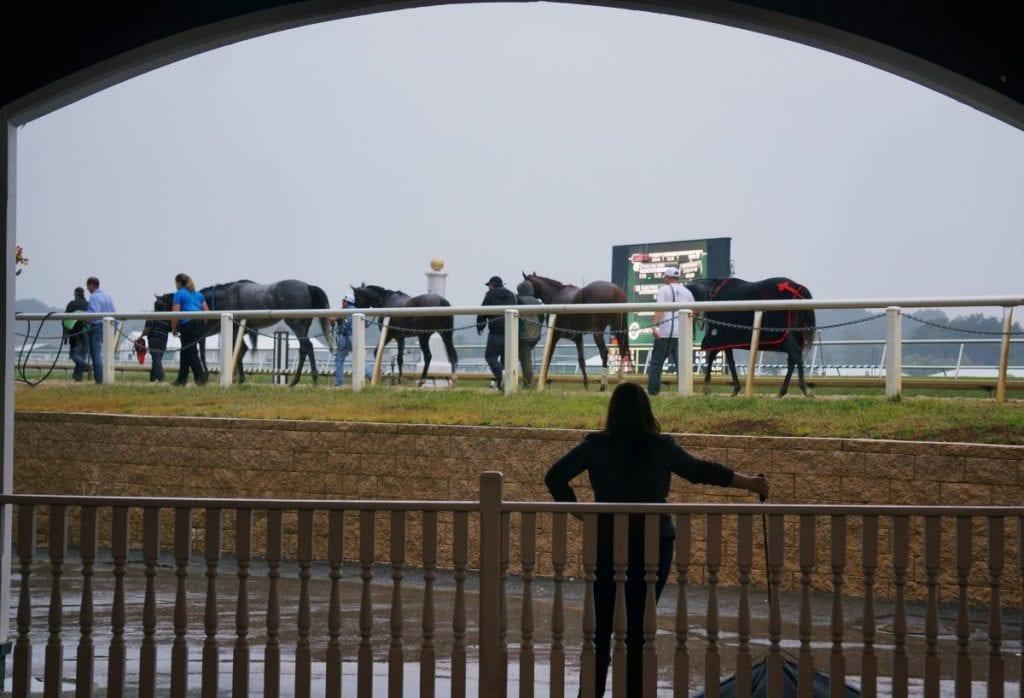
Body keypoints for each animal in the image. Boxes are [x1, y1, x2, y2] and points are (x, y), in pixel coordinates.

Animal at [153, 278, 333, 386]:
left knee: (307, 346)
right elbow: (240, 351)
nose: (154, 325)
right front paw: (237, 377)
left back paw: (308, 379)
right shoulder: (237, 329)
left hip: (296, 323)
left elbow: (227, 352)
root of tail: (308, 287)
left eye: (159, 306)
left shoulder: (232, 329)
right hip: (304, 324)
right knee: (304, 348)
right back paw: (297, 380)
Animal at [684, 276, 819, 397]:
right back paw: (782, 391)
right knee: (792, 359)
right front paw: (735, 388)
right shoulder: (726, 340)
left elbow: (713, 357)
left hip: (783, 335)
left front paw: (707, 386)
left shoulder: (720, 336)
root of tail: (797, 289)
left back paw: (803, 388)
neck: (711, 293)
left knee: (796, 352)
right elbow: (729, 361)